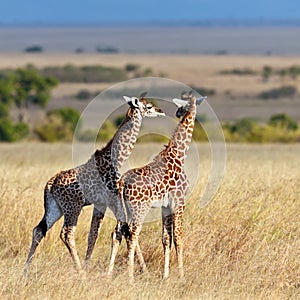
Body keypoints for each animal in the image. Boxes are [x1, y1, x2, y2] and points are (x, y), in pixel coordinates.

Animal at [23, 95, 165, 276]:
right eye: (148, 106)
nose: (161, 111)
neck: (115, 160)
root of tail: (50, 184)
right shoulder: (113, 201)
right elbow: (123, 230)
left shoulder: (100, 204)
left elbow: (93, 235)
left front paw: (88, 266)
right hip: (72, 207)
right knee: (67, 234)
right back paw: (80, 274)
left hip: (55, 207)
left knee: (38, 230)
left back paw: (25, 272)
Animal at [108, 90, 206, 280]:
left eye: (181, 106)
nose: (177, 113)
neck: (178, 155)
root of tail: (122, 184)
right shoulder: (179, 202)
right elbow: (178, 238)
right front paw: (181, 275)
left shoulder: (165, 206)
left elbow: (166, 239)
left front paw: (166, 276)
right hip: (139, 208)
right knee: (132, 235)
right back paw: (131, 277)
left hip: (122, 209)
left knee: (118, 233)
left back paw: (108, 274)